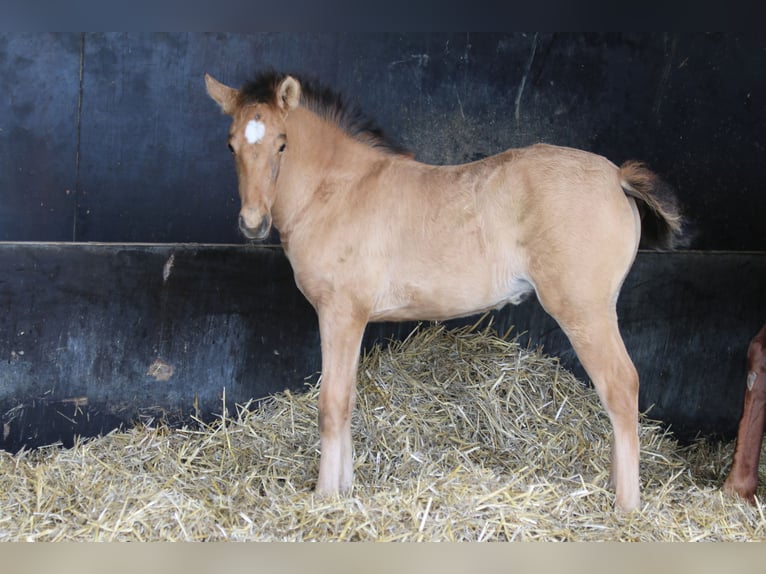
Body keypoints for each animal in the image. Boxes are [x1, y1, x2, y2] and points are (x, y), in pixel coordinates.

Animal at [206, 68, 684, 512]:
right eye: (230, 145)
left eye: (282, 144)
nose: (253, 223)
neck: (338, 192)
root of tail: (617, 176)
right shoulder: (352, 320)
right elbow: (349, 400)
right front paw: (346, 488)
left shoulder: (340, 313)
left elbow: (332, 404)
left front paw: (326, 496)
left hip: (584, 311)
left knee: (620, 387)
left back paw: (626, 506)